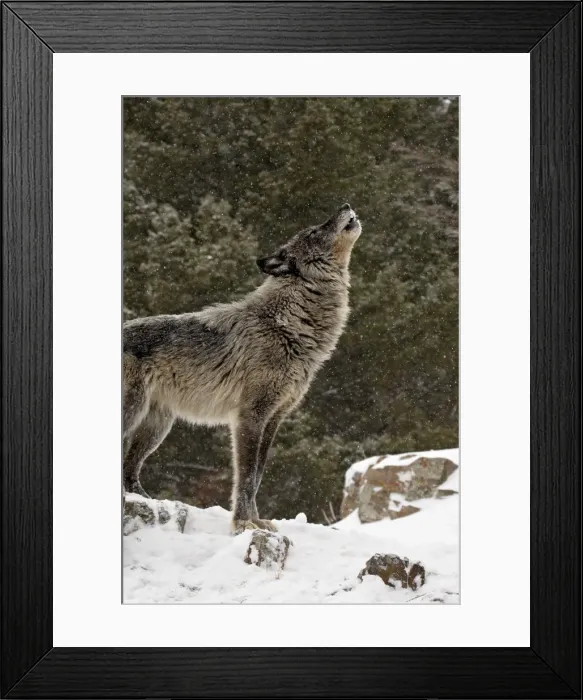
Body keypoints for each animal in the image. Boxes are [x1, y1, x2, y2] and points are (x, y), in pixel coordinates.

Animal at [123, 203, 361, 533]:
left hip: (157, 427)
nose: (345, 206)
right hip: (134, 415)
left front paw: (257, 520)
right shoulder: (250, 415)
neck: (287, 325)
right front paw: (243, 524)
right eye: (315, 230)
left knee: (128, 471)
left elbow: (258, 475)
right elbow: (246, 477)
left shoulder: (274, 418)